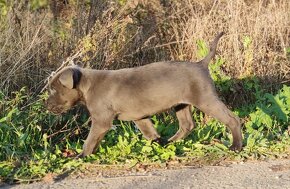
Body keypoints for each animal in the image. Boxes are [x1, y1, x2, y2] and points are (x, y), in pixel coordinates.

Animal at [46, 32, 242, 157]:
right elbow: (150, 133)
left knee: (232, 119)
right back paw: (170, 142)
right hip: (182, 103)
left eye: (54, 89)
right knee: (187, 125)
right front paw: (157, 144)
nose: (46, 105)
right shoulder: (139, 117)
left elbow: (90, 140)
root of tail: (201, 64)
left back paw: (236, 146)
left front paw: (81, 156)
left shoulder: (101, 121)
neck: (87, 86)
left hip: (205, 99)